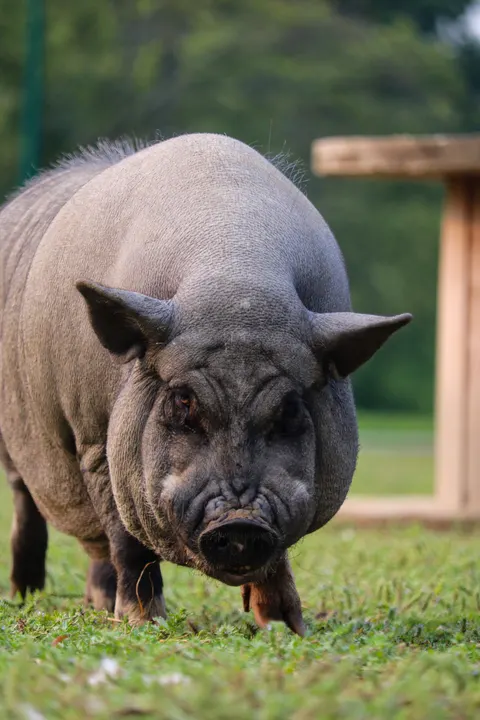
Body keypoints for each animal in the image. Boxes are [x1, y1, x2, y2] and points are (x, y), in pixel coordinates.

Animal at [0, 134, 411, 634]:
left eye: (291, 408)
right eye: (182, 401)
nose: (240, 522)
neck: (233, 280)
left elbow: (277, 558)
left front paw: (286, 627)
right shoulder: (94, 438)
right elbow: (128, 542)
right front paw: (144, 624)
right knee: (30, 508)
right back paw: (27, 597)